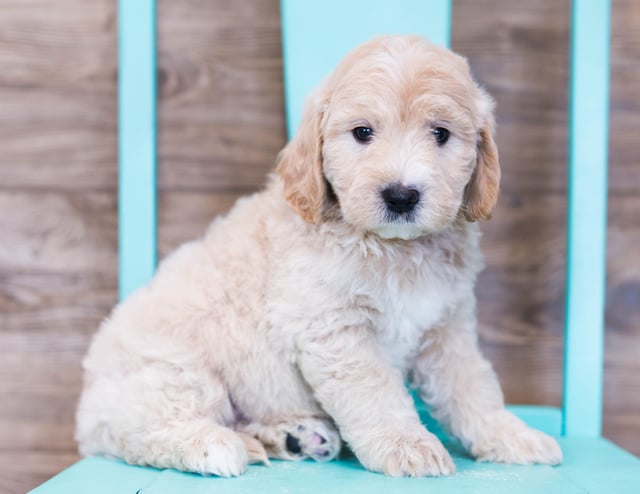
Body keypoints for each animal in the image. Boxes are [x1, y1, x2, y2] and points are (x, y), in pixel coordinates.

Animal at [77, 35, 564, 478]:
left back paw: (294, 436)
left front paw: (511, 435)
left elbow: (472, 387)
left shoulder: (446, 328)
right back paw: (214, 445)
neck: (394, 247)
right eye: (363, 132)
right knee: (145, 431)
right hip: (176, 369)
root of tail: (89, 412)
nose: (401, 195)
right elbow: (376, 393)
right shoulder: (333, 328)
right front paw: (408, 445)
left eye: (440, 134)